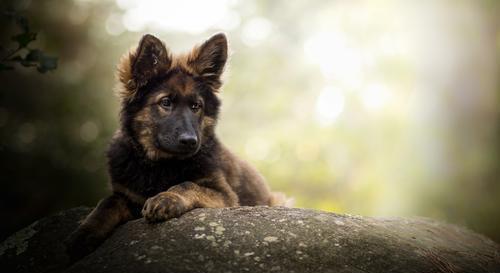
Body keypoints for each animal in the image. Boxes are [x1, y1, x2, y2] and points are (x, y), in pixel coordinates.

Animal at [64, 32, 288, 260]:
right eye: (165, 102)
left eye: (196, 106)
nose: (190, 141)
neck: (160, 165)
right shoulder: (126, 195)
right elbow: (106, 203)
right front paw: (83, 234)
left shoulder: (225, 195)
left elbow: (188, 184)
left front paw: (166, 198)